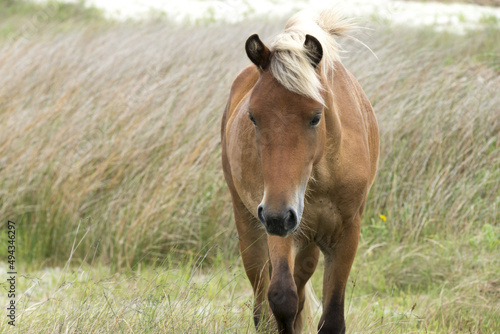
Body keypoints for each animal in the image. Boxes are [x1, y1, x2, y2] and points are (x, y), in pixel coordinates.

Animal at [220, 9, 378, 332]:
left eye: (316, 116)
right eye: (253, 117)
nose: (278, 216)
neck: (322, 176)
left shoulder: (346, 235)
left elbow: (331, 318)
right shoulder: (279, 225)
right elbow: (282, 298)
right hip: (250, 226)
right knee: (263, 300)